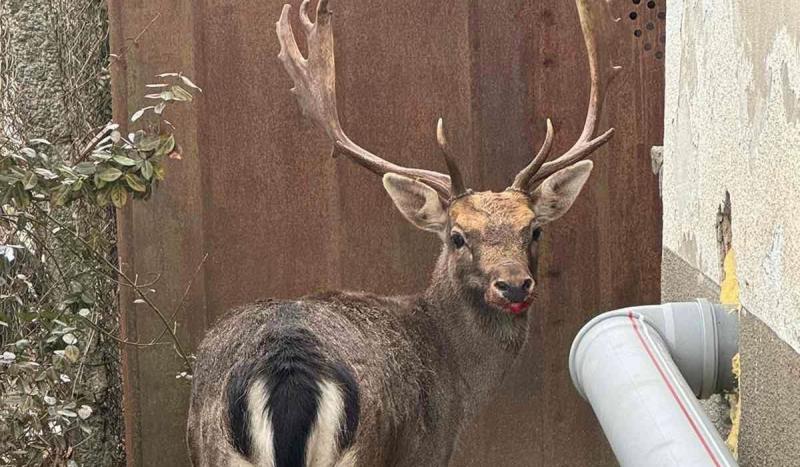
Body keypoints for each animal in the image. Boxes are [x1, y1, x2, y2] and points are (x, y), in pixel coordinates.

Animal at [188, 0, 620, 467]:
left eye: (534, 229)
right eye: (457, 236)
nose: (513, 285)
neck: (458, 382)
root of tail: (287, 371)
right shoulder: (429, 449)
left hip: (212, 448)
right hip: (362, 449)